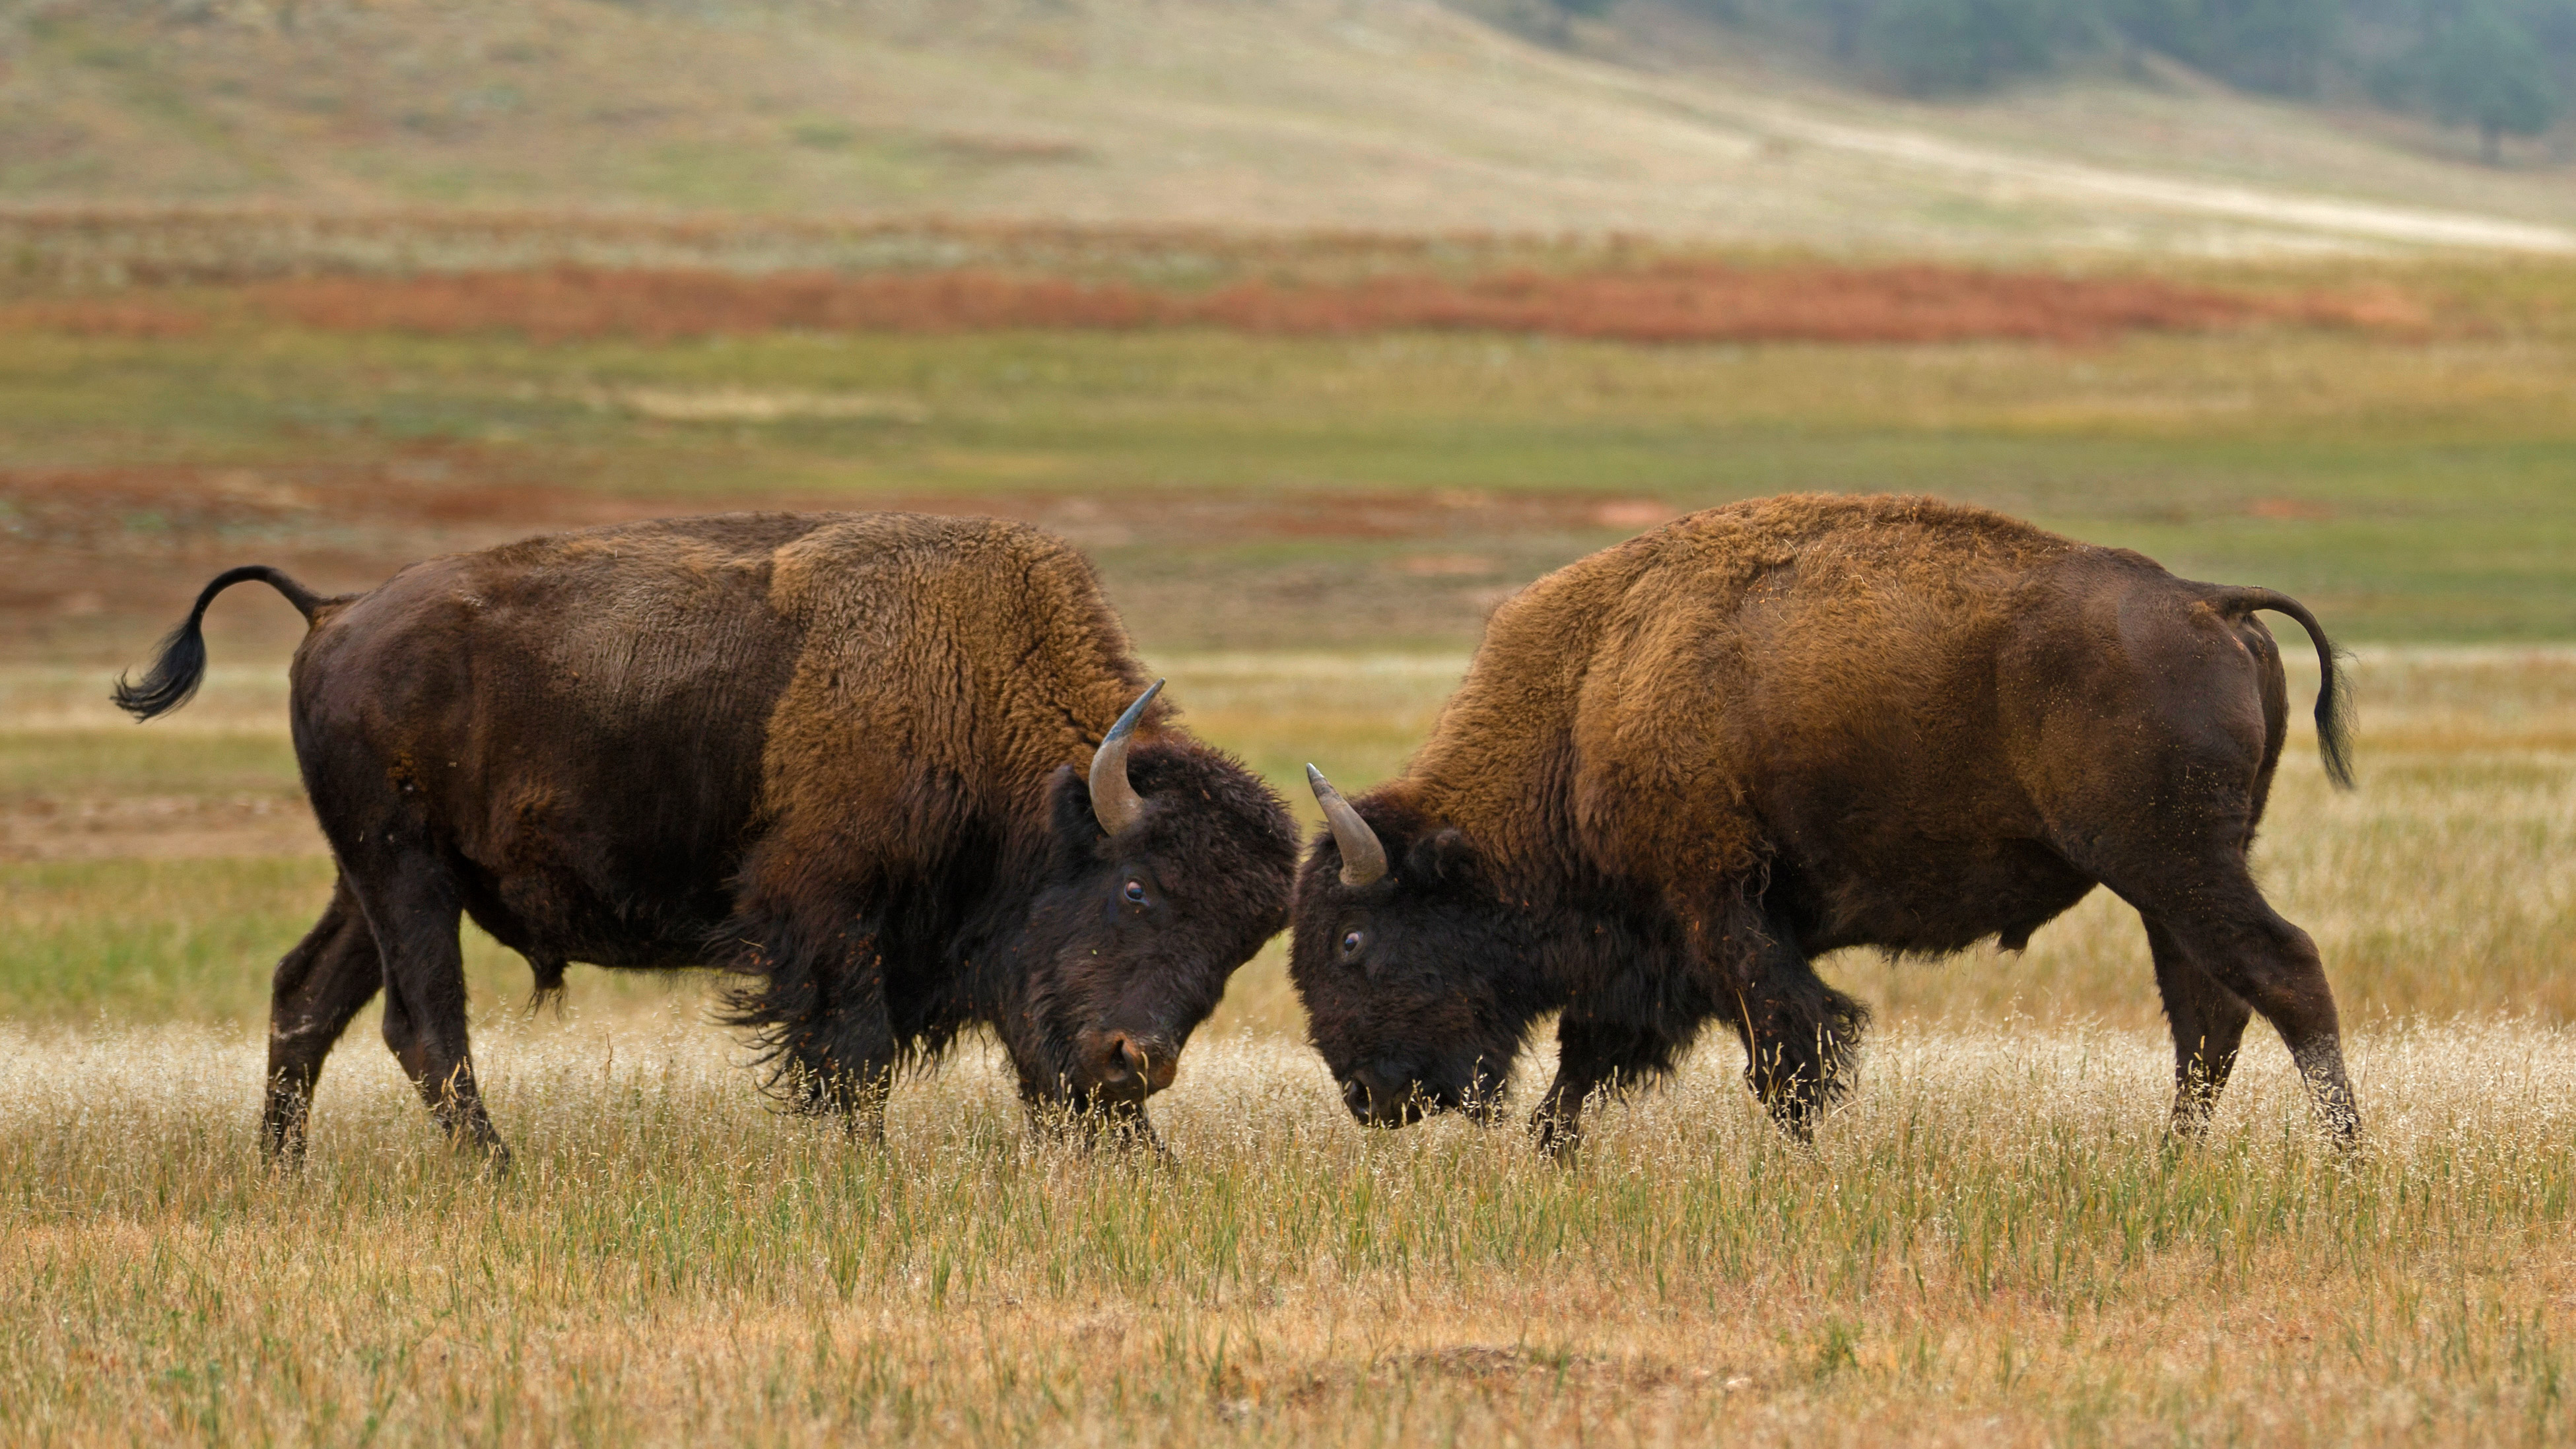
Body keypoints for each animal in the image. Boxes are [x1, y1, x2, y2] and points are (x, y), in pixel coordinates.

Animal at [113, 512, 1298, 1168]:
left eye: (1239, 949)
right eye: (1138, 891)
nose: (1137, 1063)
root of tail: (334, 611)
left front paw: (1146, 1164)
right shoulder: (828, 920)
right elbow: (851, 1058)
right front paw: (866, 1169)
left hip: (374, 879)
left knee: (307, 996)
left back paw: (285, 1173)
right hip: (401, 868)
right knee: (423, 1025)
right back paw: (500, 1172)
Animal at [1298, 496, 2359, 1158]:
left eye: (1352, 940)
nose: (1368, 1096)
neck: (1588, 695)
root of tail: (2206, 600)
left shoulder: (1716, 908)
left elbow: (1788, 1054)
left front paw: (1805, 1166)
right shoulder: (1652, 954)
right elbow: (1587, 1068)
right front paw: (1549, 1157)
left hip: (2170, 861)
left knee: (2283, 971)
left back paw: (2346, 1160)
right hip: (2172, 874)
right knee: (2208, 1010)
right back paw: (2171, 1160)